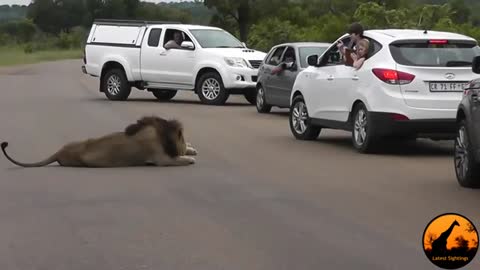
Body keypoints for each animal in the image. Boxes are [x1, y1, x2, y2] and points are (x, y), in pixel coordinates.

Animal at [0, 115, 198, 168]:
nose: (185, 144)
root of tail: (59, 152)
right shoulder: (160, 159)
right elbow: (177, 159)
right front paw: (190, 158)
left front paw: (192, 149)